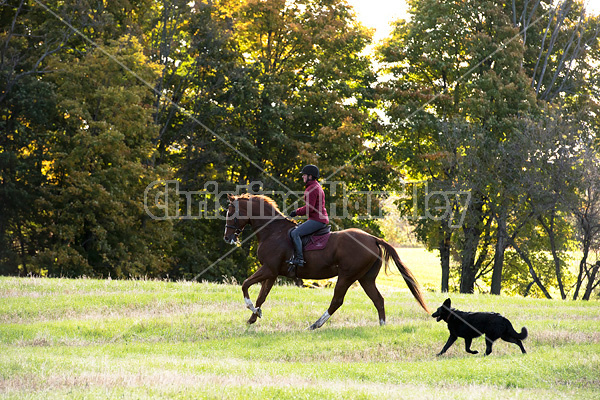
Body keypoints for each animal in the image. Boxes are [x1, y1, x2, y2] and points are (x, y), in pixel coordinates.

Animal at [223, 193, 428, 328]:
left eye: (231, 212)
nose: (227, 238)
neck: (273, 231)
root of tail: (373, 239)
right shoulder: (272, 273)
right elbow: (261, 296)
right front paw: (253, 317)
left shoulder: (268, 269)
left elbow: (245, 285)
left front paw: (252, 310)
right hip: (366, 278)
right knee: (378, 299)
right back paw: (382, 325)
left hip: (347, 276)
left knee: (337, 300)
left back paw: (315, 324)